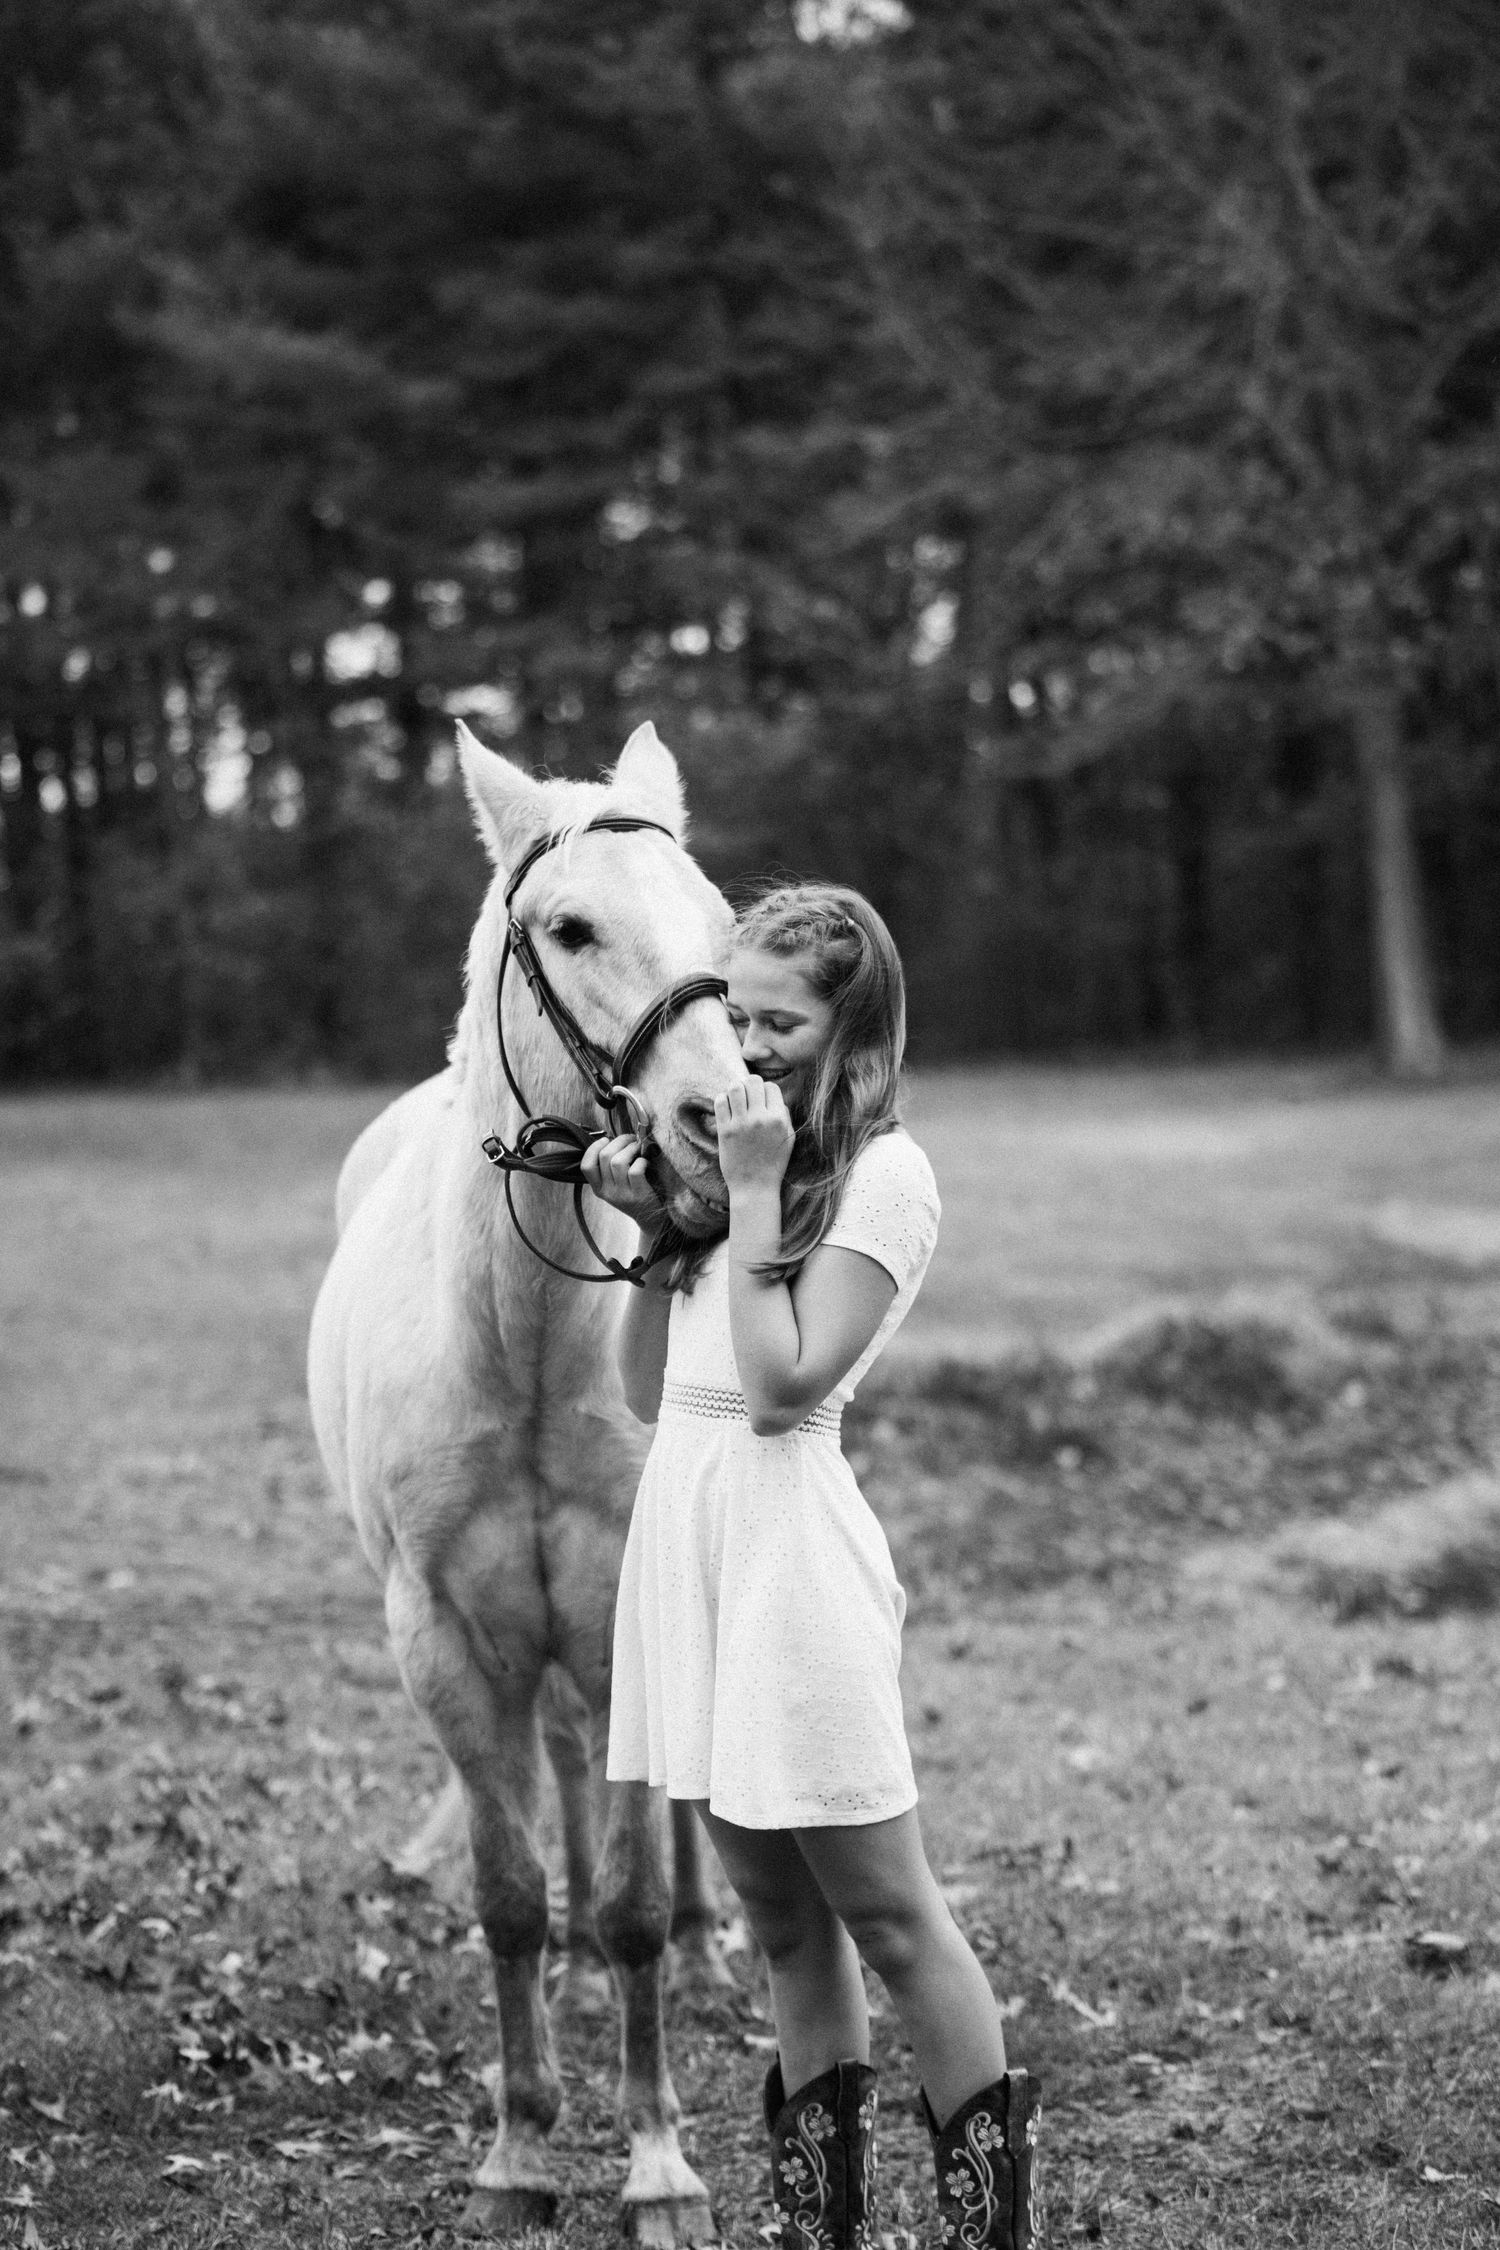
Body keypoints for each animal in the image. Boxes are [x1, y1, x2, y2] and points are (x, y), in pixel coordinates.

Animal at [307, 719, 749, 2242]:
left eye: (723, 926)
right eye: (570, 928)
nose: (724, 1128)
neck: (517, 1349)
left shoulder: (627, 1615)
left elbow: (631, 1897)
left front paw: (658, 2161)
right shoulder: (440, 1637)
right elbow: (503, 1893)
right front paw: (517, 2142)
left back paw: (705, 1943)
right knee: (559, 1766)